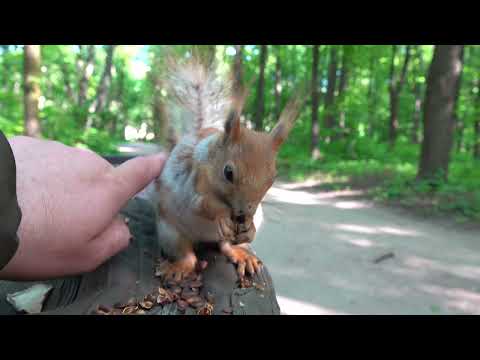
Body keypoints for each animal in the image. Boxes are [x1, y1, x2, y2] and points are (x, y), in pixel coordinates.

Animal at [154, 55, 302, 282]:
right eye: (228, 172)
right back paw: (178, 267)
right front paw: (222, 215)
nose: (242, 214)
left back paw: (242, 253)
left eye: (273, 179)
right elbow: (201, 203)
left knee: (225, 245)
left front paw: (250, 225)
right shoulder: (191, 179)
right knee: (186, 254)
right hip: (170, 232)